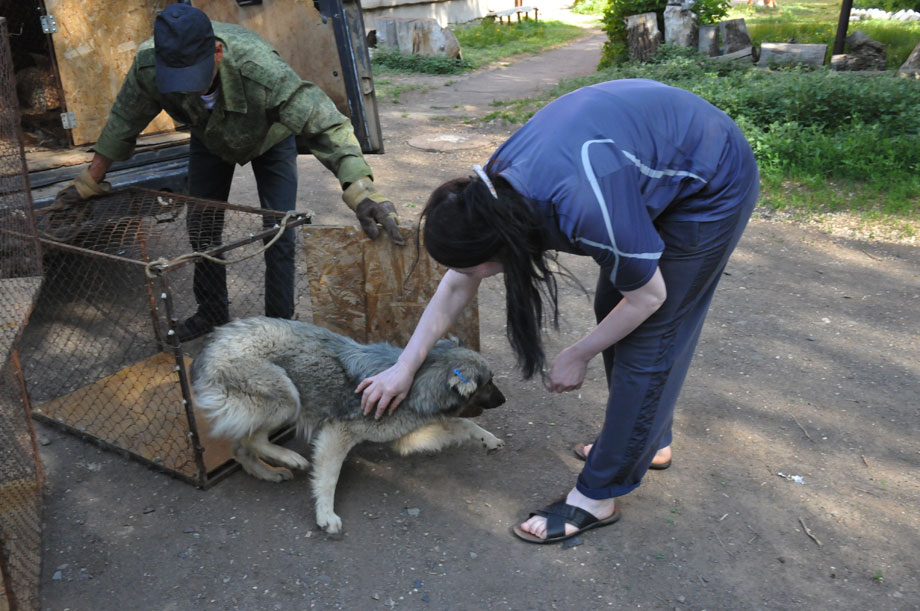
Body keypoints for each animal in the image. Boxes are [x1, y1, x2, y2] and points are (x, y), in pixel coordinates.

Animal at [190, 318, 506, 532]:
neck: (419, 379)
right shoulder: (338, 432)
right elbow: (328, 478)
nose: (504, 400)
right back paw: (290, 459)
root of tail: (210, 345)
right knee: (252, 440)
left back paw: (268, 472)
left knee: (239, 447)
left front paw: (488, 439)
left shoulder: (405, 437)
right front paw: (325, 514)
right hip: (288, 399)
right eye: (489, 383)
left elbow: (460, 424)